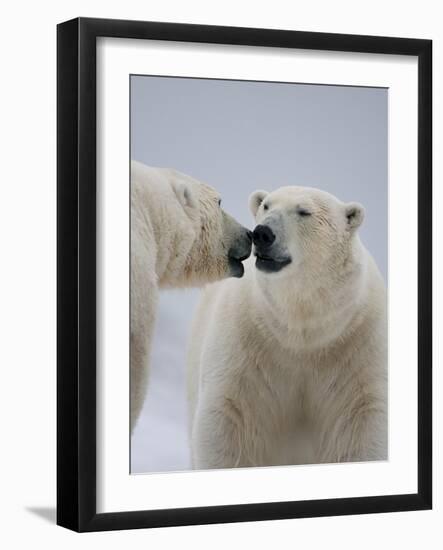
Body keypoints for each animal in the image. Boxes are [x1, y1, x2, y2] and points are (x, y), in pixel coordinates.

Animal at [189, 187, 386, 470]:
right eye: (266, 206)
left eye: (304, 211)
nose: (261, 233)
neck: (300, 327)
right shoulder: (246, 341)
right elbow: (228, 416)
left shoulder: (358, 344)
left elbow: (363, 420)